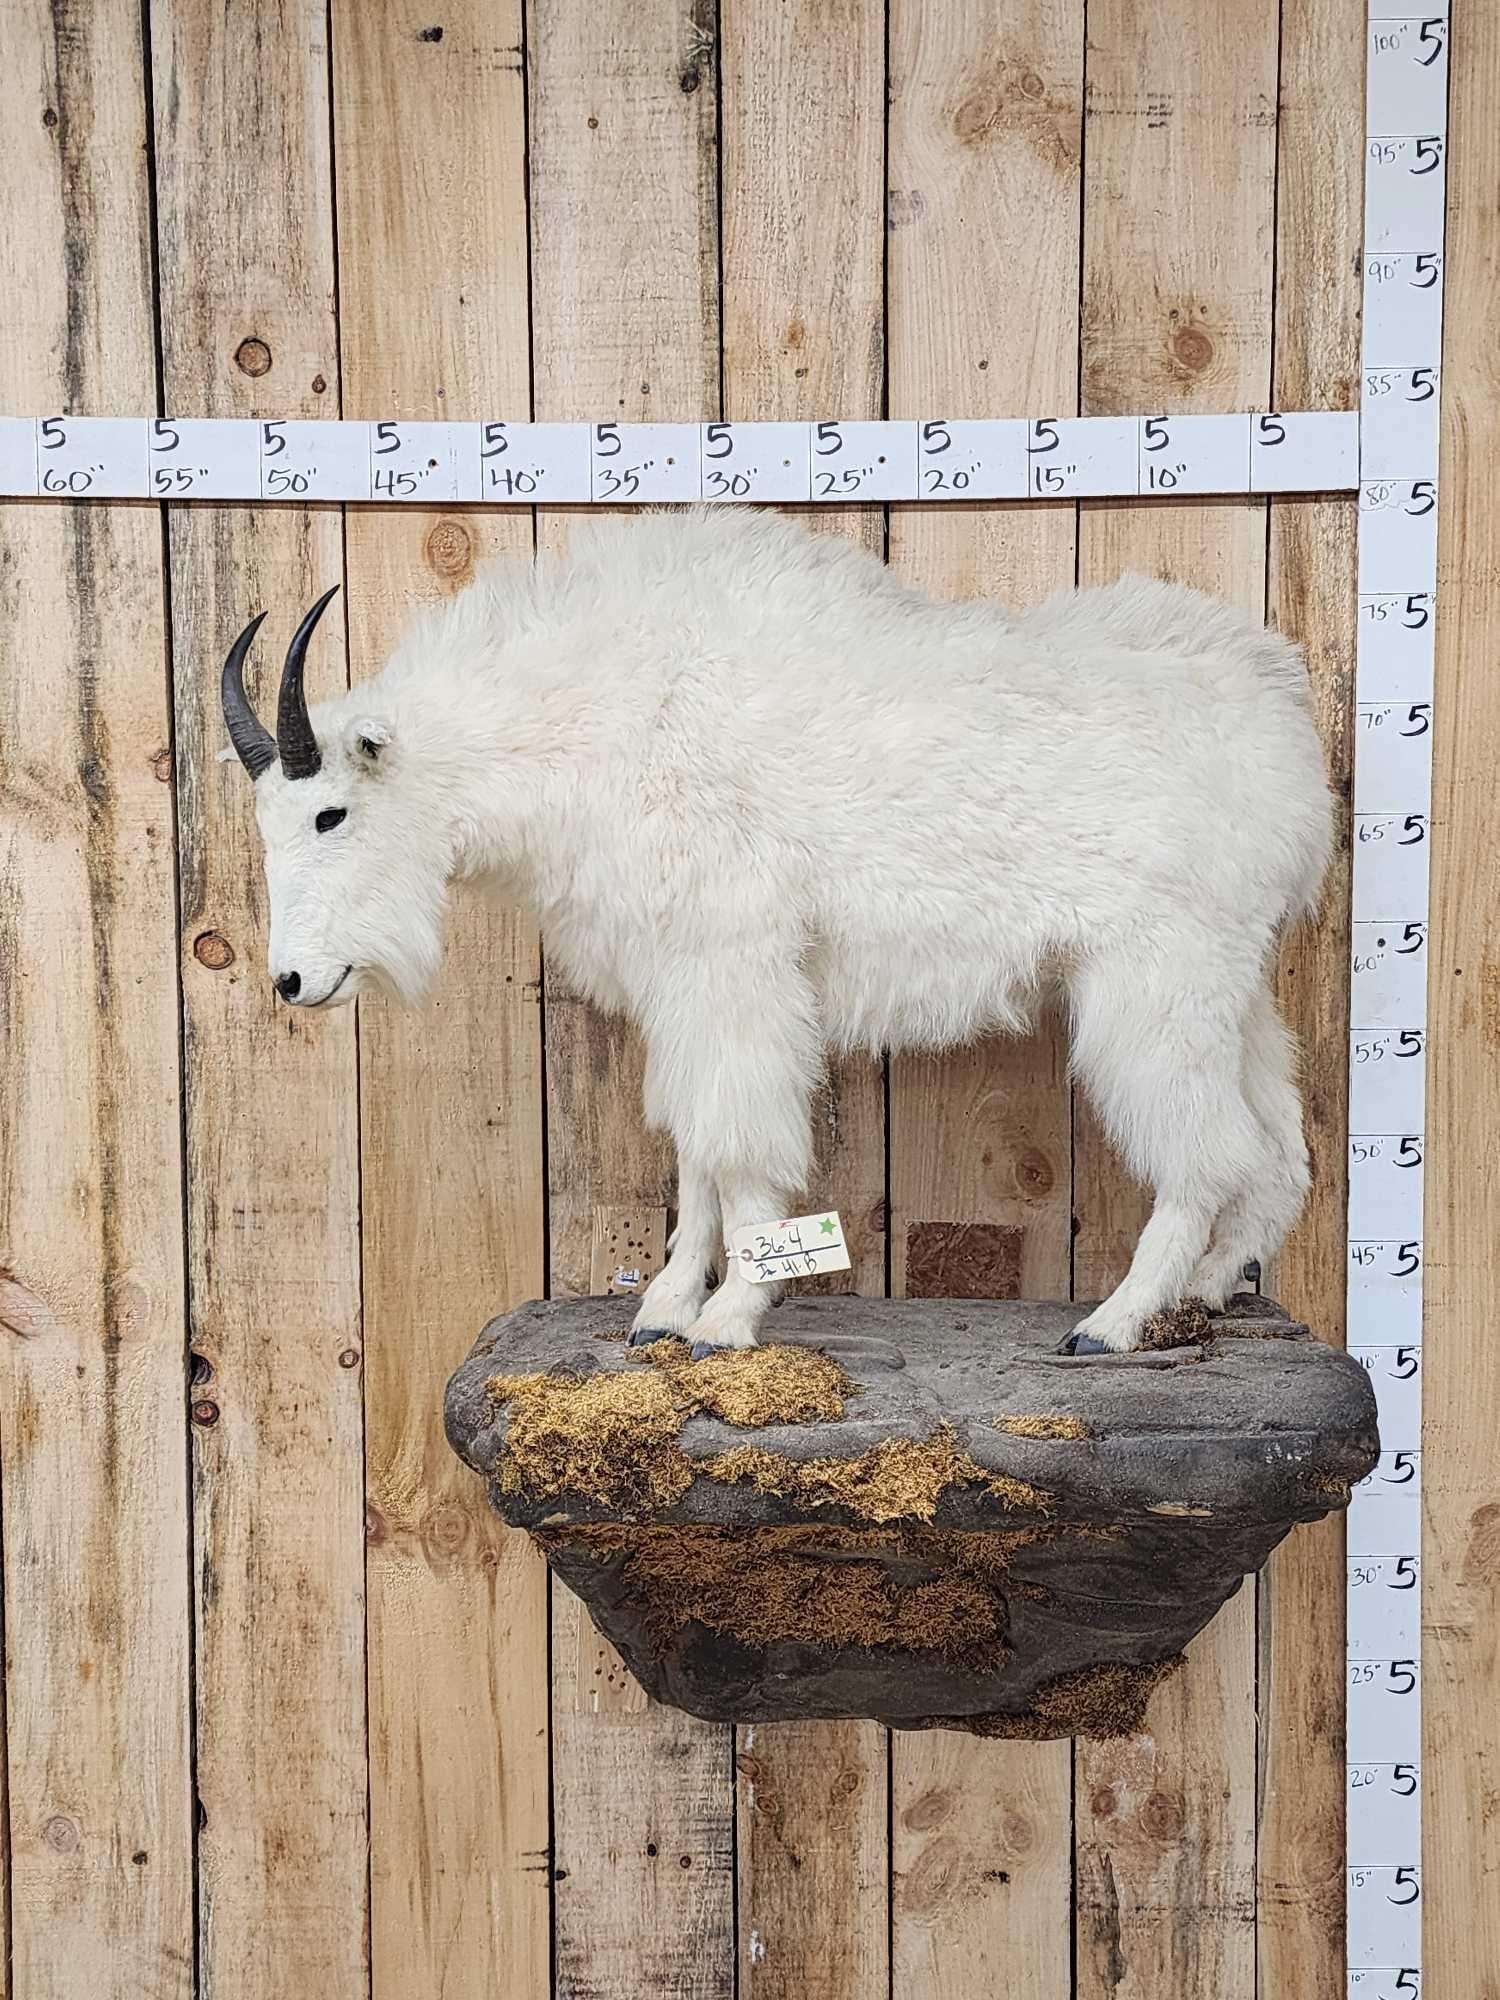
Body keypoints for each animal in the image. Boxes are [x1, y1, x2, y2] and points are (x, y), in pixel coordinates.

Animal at [220, 507, 1331, 1354]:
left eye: (331, 814)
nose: (293, 981)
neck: (602, 717)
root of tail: (1289, 741)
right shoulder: (682, 984)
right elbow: (695, 1149)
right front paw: (663, 1309)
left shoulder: (734, 969)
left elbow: (739, 1144)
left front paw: (729, 1316)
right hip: (1232, 988)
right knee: (1275, 1148)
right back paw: (1210, 1287)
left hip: (1156, 981)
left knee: (1207, 1152)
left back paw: (1114, 1322)